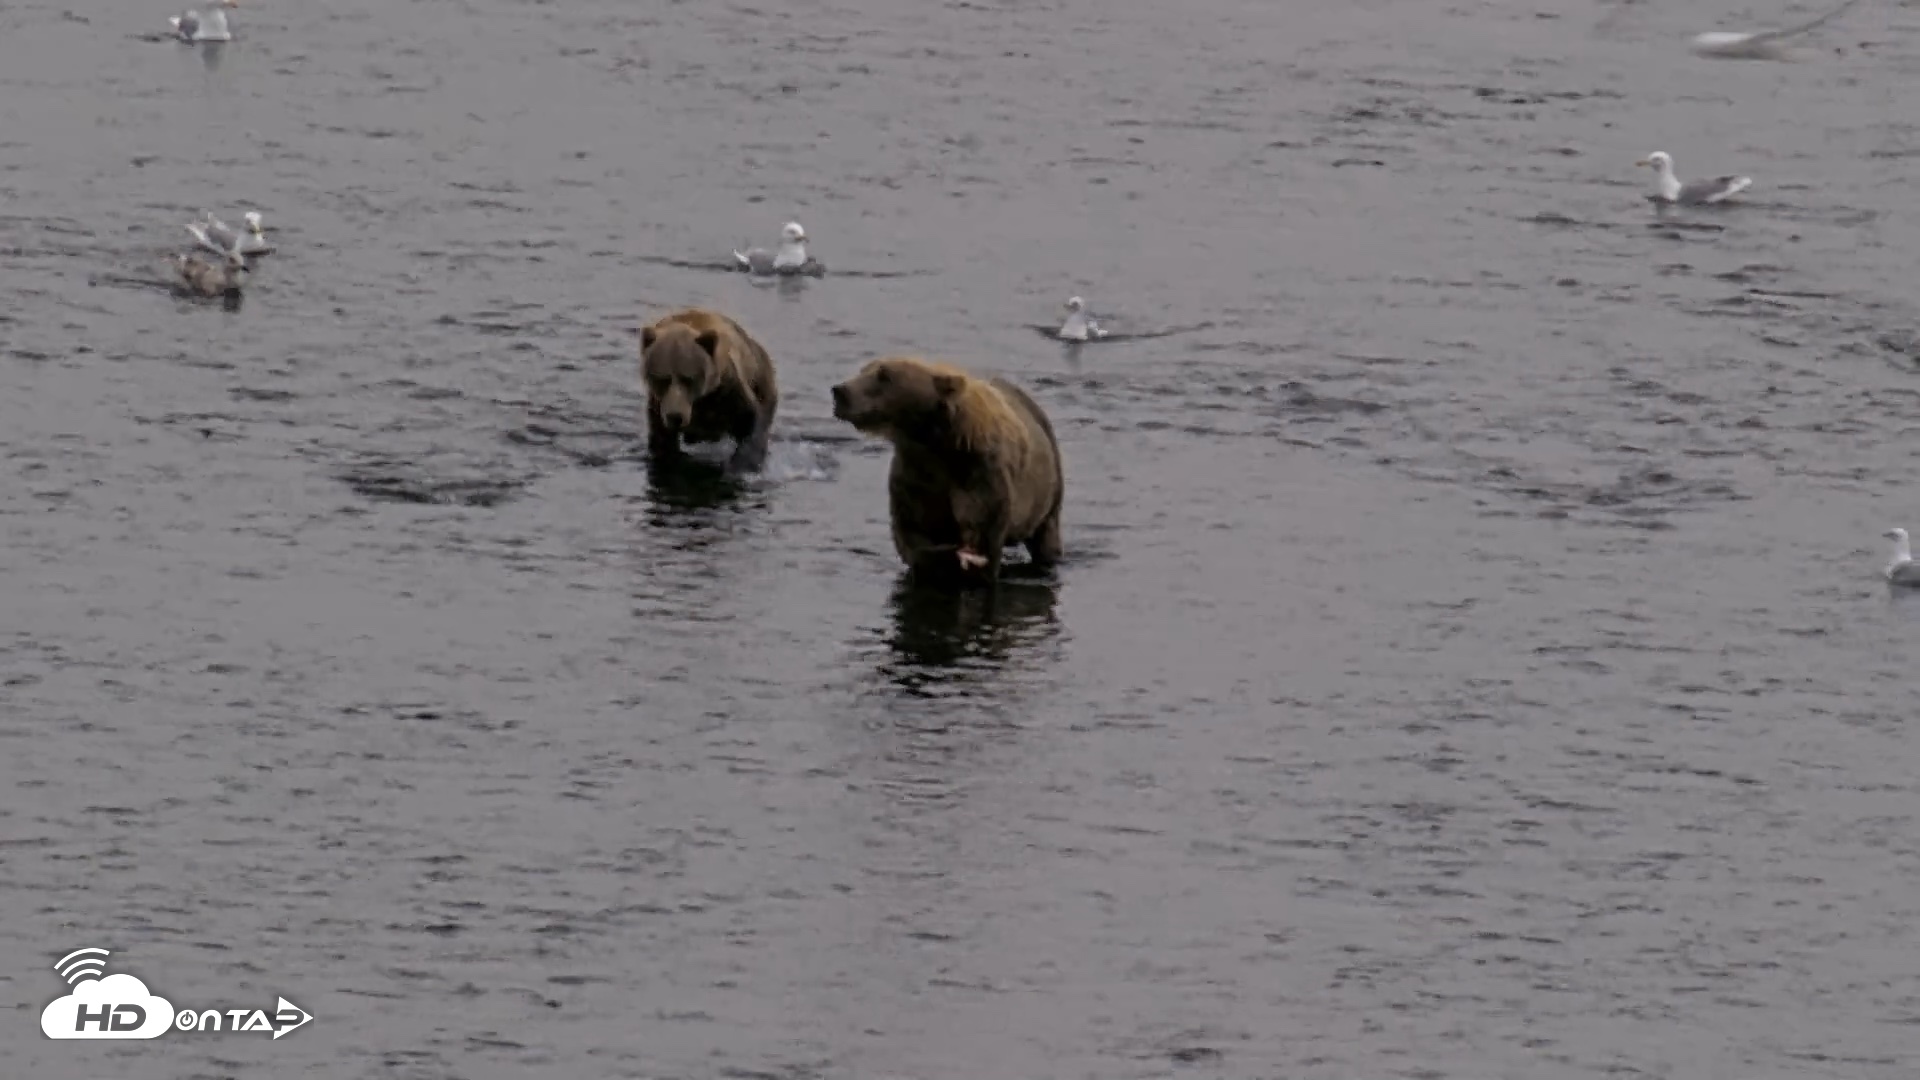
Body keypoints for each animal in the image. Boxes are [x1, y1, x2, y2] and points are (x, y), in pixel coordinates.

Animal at [638, 308, 779, 472]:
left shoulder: (728, 391)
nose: (676, 416)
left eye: (688, 378)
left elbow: (750, 422)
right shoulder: (659, 407)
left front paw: (741, 464)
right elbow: (662, 442)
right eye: (662, 379)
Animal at [830, 356, 1064, 586]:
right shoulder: (915, 477)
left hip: (1048, 493)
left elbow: (982, 534)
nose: (840, 391)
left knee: (1047, 537)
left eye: (885, 375)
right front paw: (939, 557)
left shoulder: (977, 476)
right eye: (863, 370)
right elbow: (913, 530)